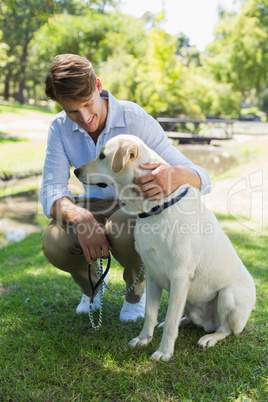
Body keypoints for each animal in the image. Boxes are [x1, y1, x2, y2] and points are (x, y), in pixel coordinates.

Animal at [74, 134, 256, 362]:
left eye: (102, 156)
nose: (76, 171)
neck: (156, 208)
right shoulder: (153, 274)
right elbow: (151, 314)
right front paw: (144, 339)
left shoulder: (179, 277)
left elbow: (170, 320)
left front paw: (164, 351)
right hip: (189, 299)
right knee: (186, 318)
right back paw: (184, 322)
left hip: (228, 295)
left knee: (225, 329)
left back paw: (210, 338)